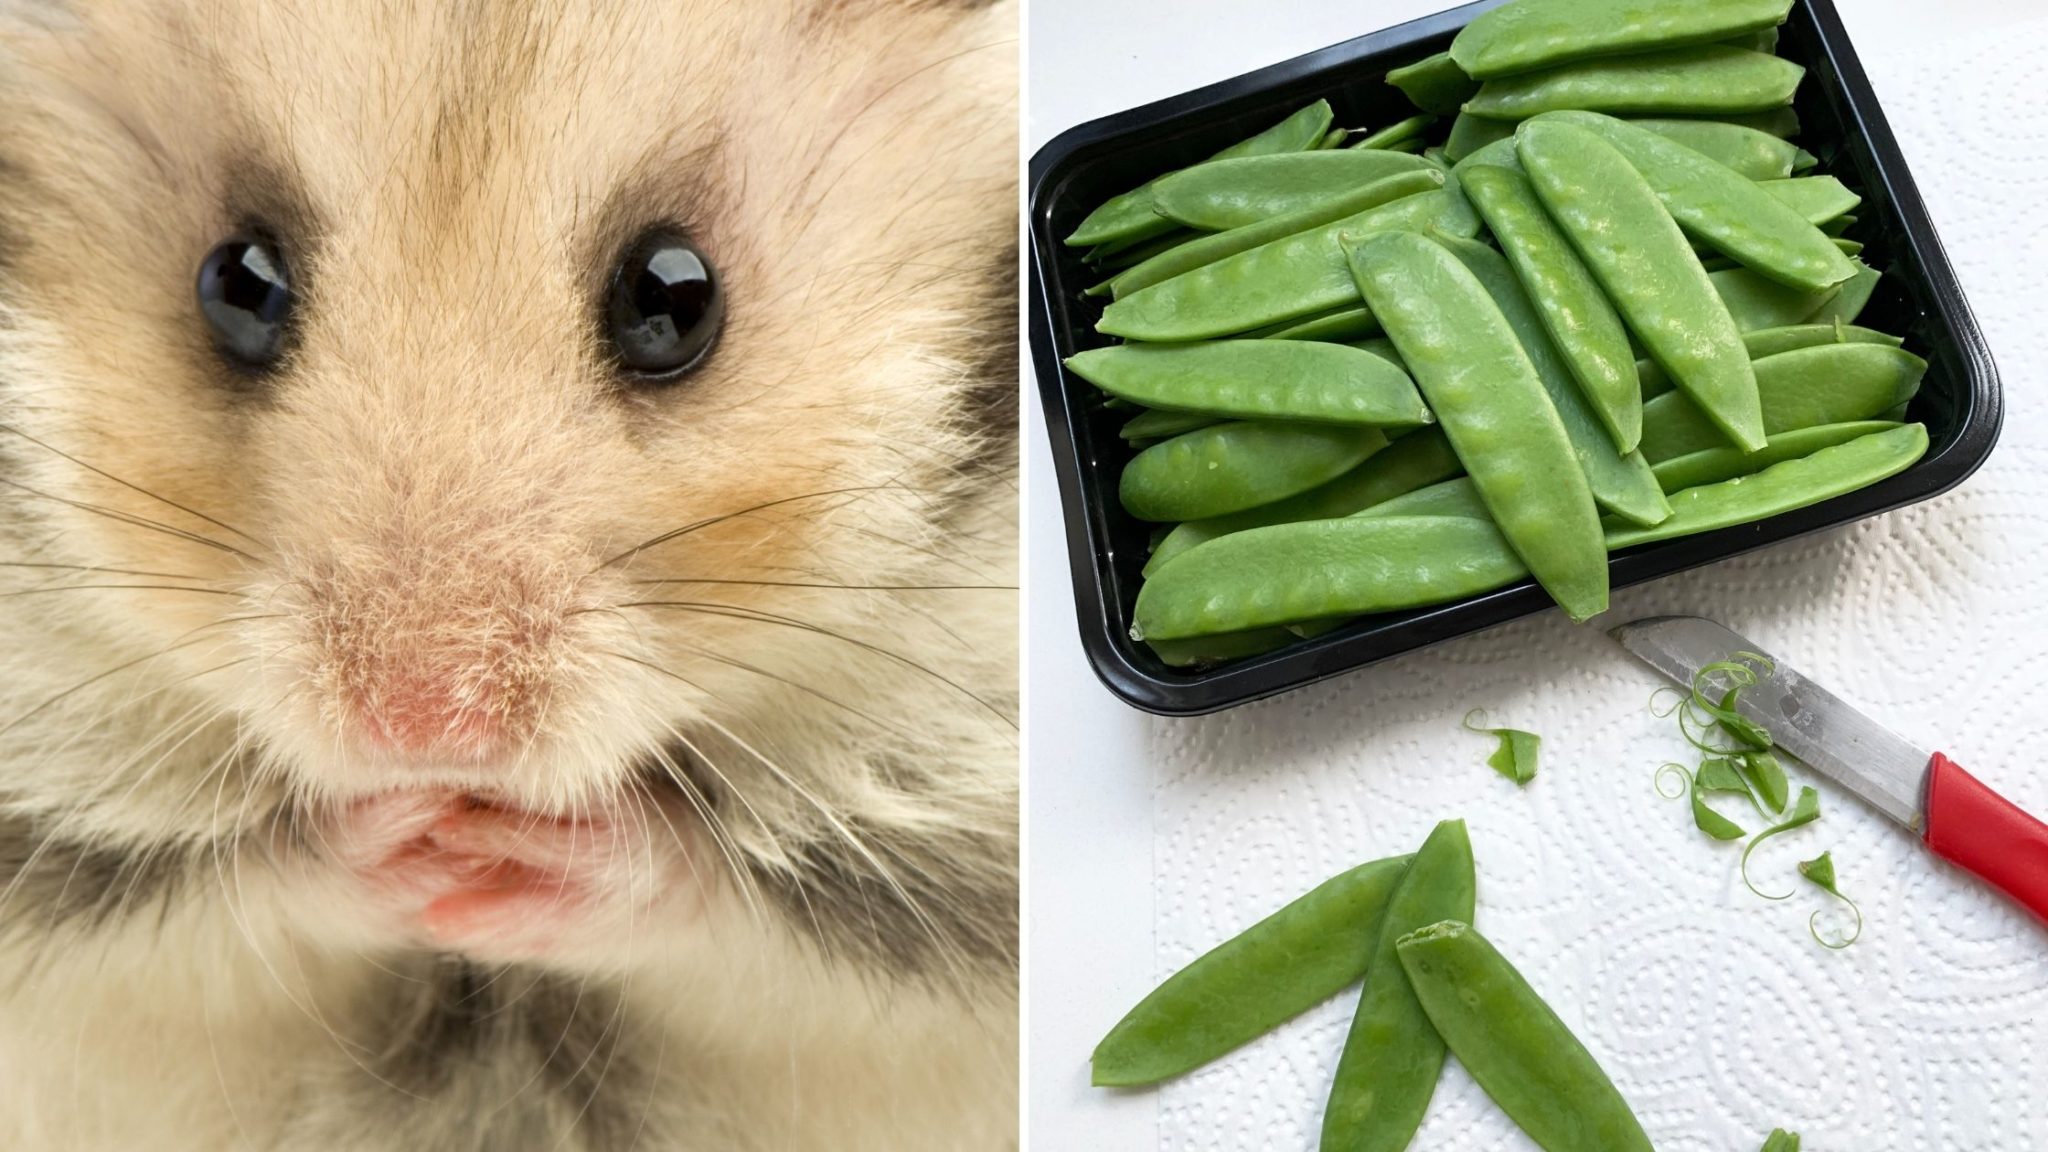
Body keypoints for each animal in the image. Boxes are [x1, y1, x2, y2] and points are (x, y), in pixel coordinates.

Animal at [0, 1, 1018, 1149]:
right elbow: (250, 874)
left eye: (673, 299)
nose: (423, 731)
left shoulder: (951, 864)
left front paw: (515, 855)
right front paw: (408, 842)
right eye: (237, 283)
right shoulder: (53, 860)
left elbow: (720, 894)